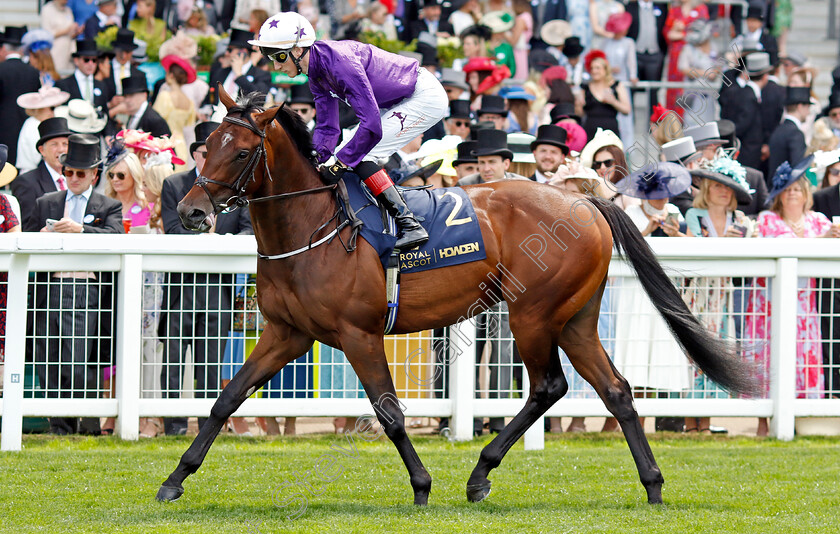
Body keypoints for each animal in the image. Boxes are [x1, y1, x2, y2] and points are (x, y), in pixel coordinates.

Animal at [154, 89, 756, 510]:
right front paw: (174, 480)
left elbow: (391, 414)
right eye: (205, 147)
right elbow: (225, 399)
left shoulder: (357, 334)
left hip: (533, 313)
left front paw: (421, 486)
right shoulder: (288, 333)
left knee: (550, 386)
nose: (189, 212)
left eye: (243, 151)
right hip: (576, 319)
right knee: (616, 390)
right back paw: (651, 485)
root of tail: (584, 202)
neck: (311, 226)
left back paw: (480, 473)